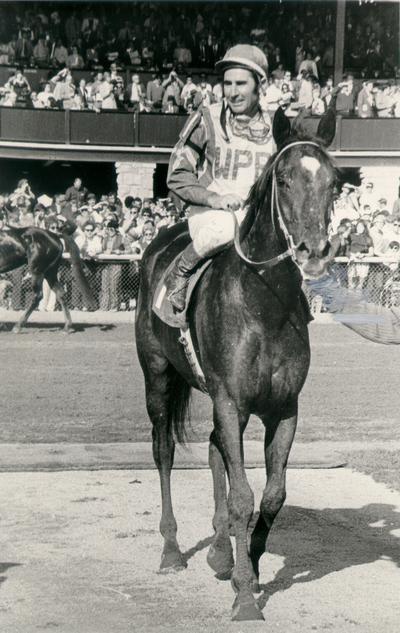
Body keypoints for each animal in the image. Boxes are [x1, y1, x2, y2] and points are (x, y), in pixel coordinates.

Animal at [135, 107, 338, 616]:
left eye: (334, 180)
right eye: (284, 179)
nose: (313, 251)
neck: (264, 305)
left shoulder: (283, 408)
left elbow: (272, 495)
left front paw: (246, 562)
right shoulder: (230, 401)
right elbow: (243, 496)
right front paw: (246, 595)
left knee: (212, 449)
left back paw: (218, 550)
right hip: (158, 377)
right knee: (164, 452)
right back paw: (171, 550)